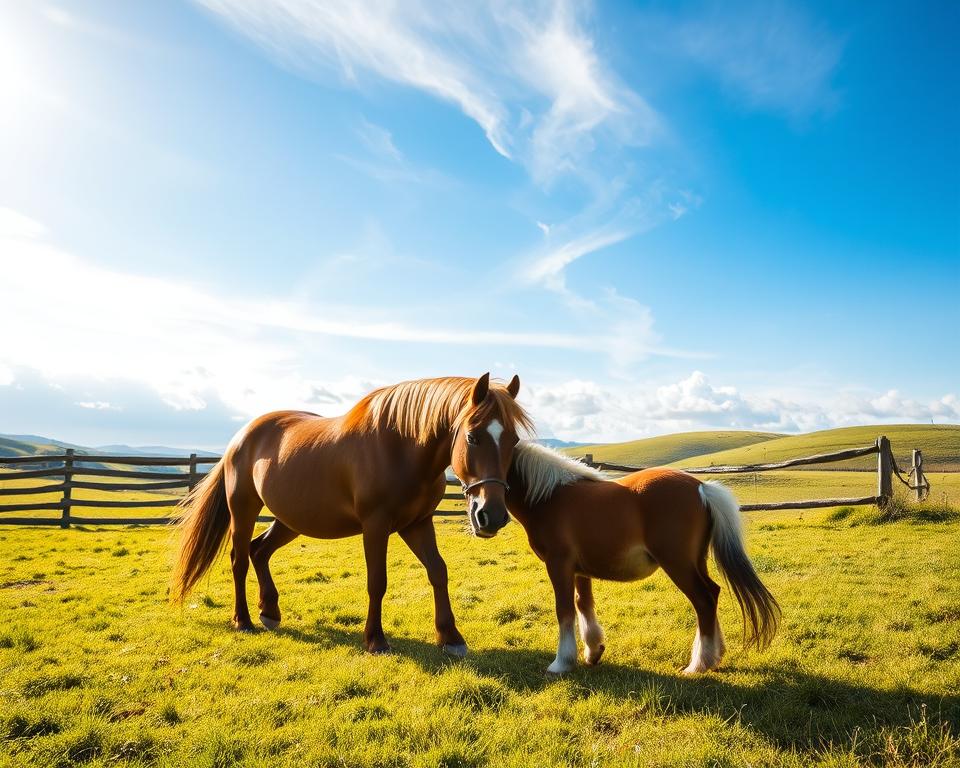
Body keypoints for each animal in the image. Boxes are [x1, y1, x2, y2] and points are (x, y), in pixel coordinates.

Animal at [172, 374, 532, 656]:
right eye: (472, 436)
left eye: (513, 439)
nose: (492, 515)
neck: (401, 447)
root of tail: (240, 438)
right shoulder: (376, 526)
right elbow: (377, 581)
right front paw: (375, 640)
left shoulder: (418, 524)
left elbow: (438, 571)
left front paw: (450, 636)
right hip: (244, 509)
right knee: (240, 559)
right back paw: (243, 620)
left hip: (291, 520)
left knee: (259, 550)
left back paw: (270, 611)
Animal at [483, 442, 780, 674]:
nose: (483, 517)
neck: (551, 496)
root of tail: (701, 487)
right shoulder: (579, 570)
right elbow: (583, 604)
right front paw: (593, 651)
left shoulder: (559, 565)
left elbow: (564, 609)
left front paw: (561, 663)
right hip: (696, 562)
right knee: (714, 593)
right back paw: (714, 655)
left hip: (679, 565)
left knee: (704, 600)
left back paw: (699, 664)